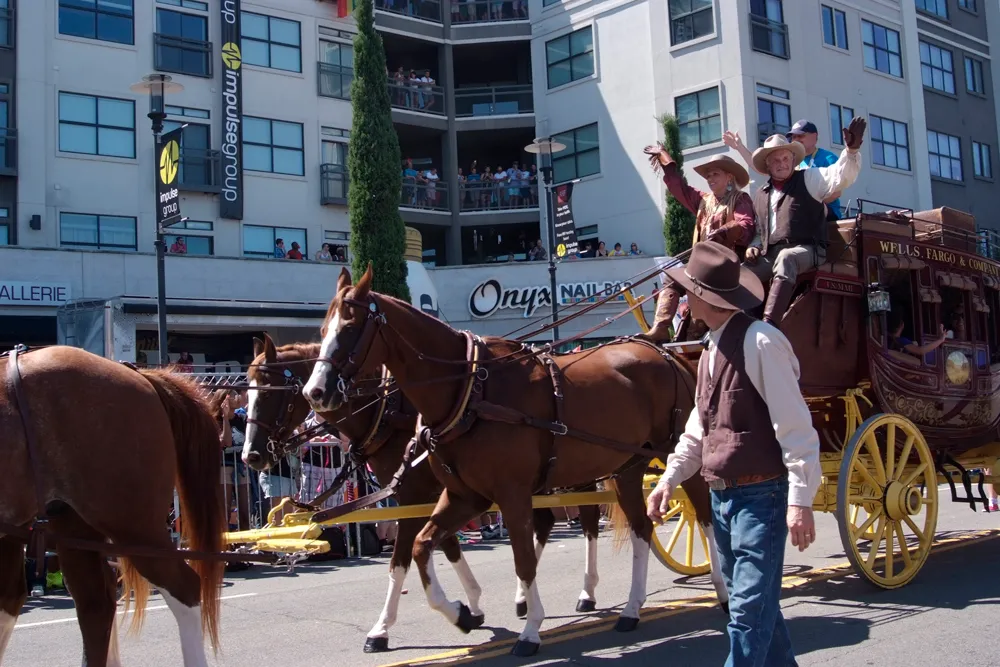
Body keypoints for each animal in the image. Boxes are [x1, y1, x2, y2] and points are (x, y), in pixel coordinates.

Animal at [241, 335, 605, 653]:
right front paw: (471, 605)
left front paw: (382, 629)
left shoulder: (415, 494)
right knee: (545, 523)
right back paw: (525, 598)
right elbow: (446, 545)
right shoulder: (436, 493)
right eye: (247, 393)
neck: (384, 411)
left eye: (270, 394)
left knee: (586, 519)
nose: (250, 456)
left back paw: (586, 592)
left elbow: (402, 558)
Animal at [300, 266, 727, 657]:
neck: (469, 391)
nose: (314, 392)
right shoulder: (462, 497)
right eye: (321, 330)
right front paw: (462, 612)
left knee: (704, 515)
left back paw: (722, 591)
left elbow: (521, 560)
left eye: (350, 327)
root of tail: (666, 353)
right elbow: (421, 547)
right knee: (640, 528)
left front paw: (530, 628)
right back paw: (632, 609)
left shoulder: (507, 494)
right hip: (627, 468)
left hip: (678, 455)